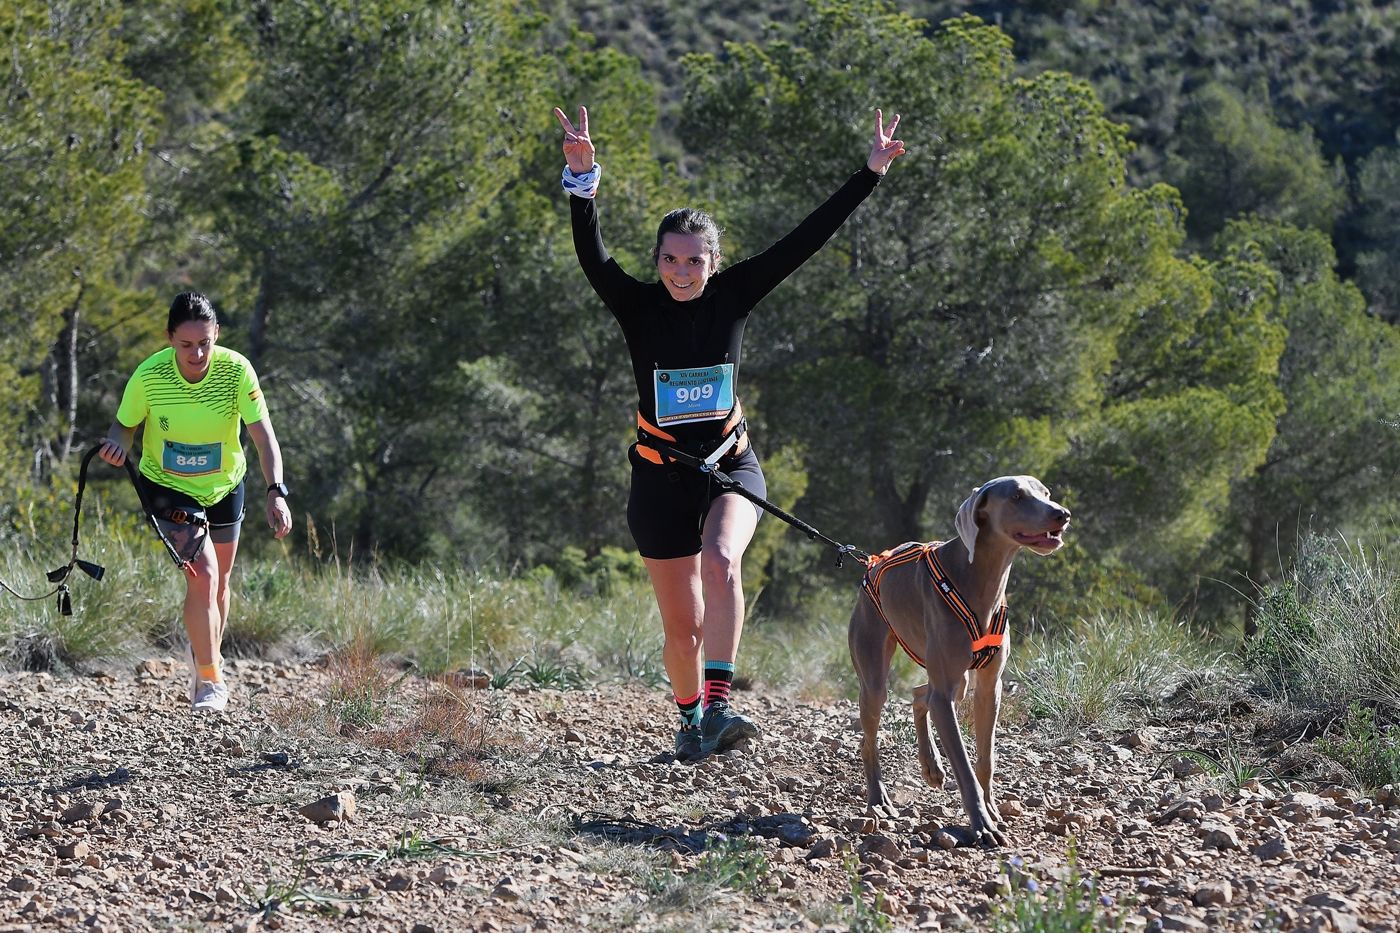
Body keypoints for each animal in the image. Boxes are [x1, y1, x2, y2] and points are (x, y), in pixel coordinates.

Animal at [845, 476, 1064, 846]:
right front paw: (981, 824)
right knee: (871, 737)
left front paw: (990, 810)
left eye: (1046, 492)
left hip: (957, 681)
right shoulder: (947, 693)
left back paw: (931, 765)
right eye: (1017, 496)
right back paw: (879, 800)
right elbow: (963, 762)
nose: (1062, 514)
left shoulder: (990, 687)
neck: (979, 579)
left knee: (920, 695)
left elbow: (985, 758)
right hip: (874, 670)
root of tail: (871, 565)